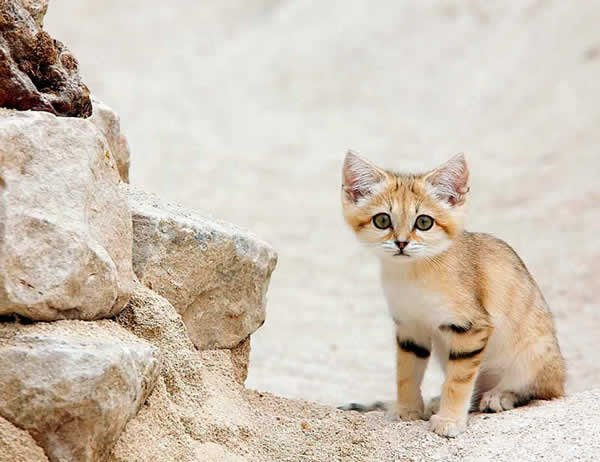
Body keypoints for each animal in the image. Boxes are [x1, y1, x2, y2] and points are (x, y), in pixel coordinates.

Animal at [340, 151, 564, 436]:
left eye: (424, 222)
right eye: (382, 220)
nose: (401, 243)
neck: (413, 274)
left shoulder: (470, 328)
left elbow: (458, 382)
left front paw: (450, 420)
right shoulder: (410, 328)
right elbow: (406, 374)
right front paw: (407, 410)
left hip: (533, 354)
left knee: (540, 391)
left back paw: (500, 395)